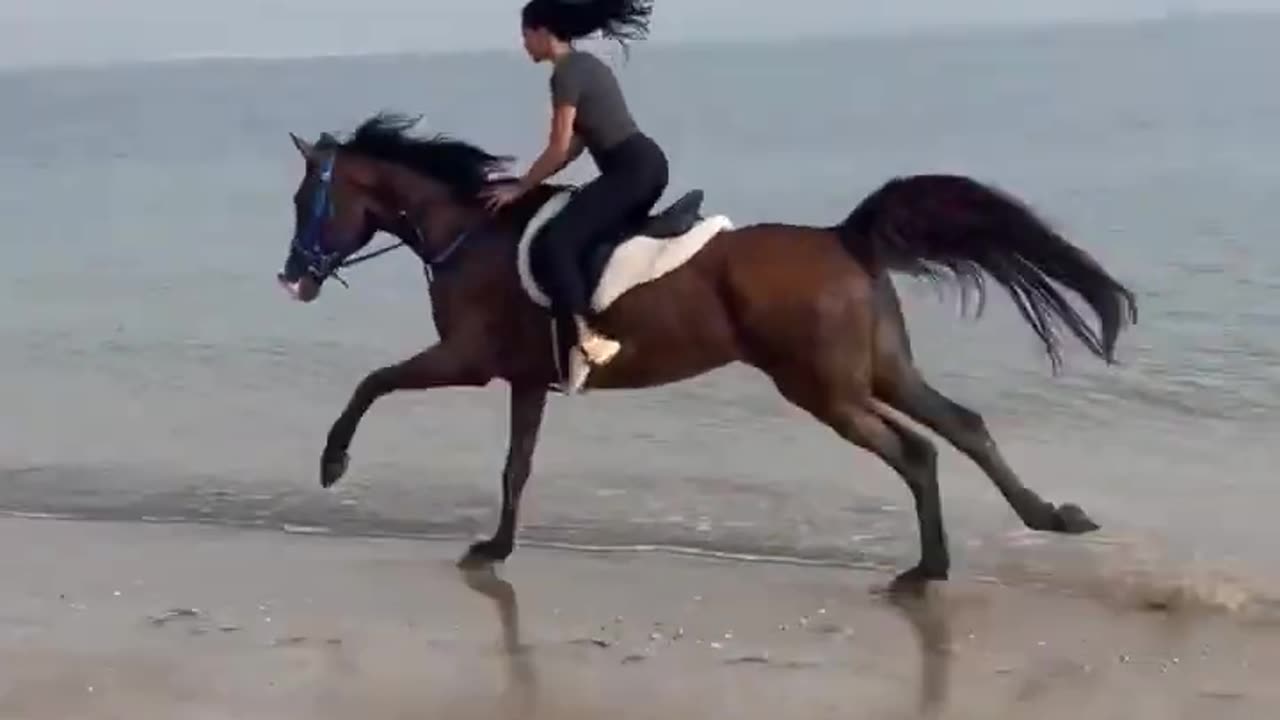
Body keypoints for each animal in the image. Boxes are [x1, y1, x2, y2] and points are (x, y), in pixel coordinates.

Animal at [275, 110, 1136, 584]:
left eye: (306, 198)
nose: (293, 277)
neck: (469, 234)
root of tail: (844, 237)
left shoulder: (469, 360)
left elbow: (373, 381)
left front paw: (332, 463)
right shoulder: (523, 377)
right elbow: (515, 465)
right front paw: (495, 546)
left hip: (824, 386)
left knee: (917, 449)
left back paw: (931, 568)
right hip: (878, 368)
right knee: (962, 426)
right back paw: (1042, 522)